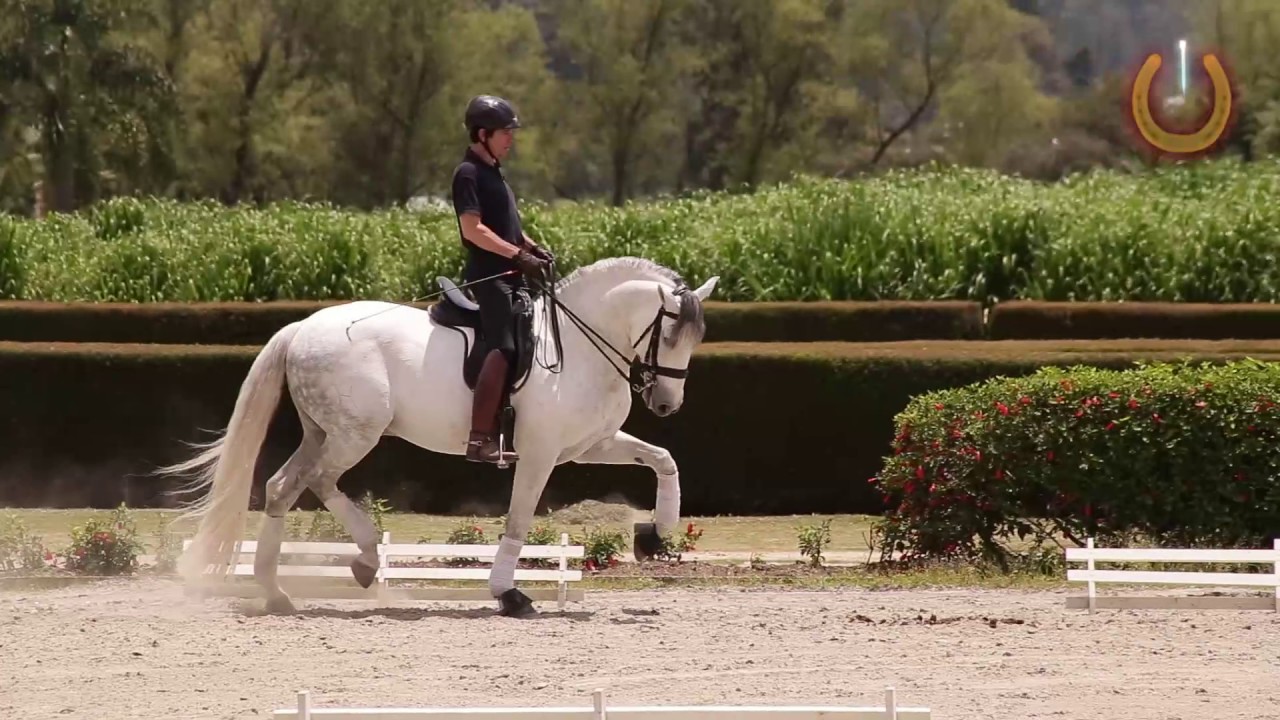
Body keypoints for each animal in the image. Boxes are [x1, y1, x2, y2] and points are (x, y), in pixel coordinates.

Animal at [157, 256, 719, 617]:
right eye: (669, 334)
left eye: (697, 338)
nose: (667, 403)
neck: (580, 345)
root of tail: (303, 327)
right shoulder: (539, 454)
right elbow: (518, 519)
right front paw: (508, 594)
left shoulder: (590, 446)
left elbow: (663, 459)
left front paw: (654, 535)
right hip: (355, 434)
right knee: (316, 482)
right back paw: (363, 559)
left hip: (324, 431)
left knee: (281, 487)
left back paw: (278, 592)